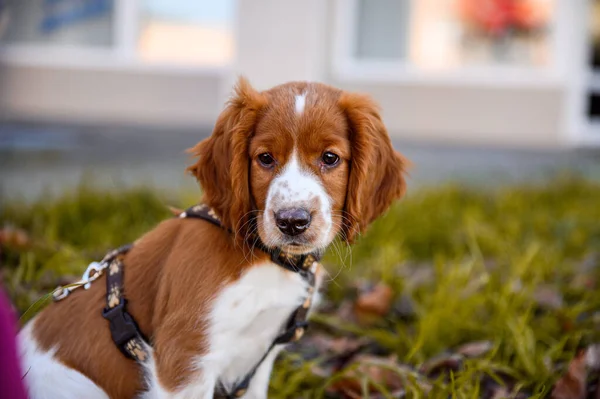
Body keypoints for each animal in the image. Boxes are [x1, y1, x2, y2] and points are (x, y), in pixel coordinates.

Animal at [17, 79, 408, 399]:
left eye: (330, 158)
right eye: (265, 158)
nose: (292, 222)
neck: (265, 258)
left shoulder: (259, 359)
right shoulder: (184, 358)